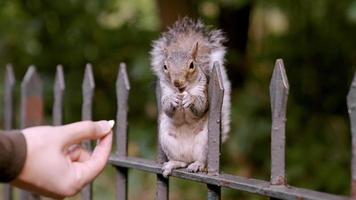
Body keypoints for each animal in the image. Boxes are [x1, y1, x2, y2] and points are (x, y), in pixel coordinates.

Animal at [149, 17, 231, 177]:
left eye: (192, 65)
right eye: (165, 66)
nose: (177, 83)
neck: (182, 91)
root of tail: (189, 157)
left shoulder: (202, 90)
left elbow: (201, 106)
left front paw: (190, 99)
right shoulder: (165, 90)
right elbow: (166, 106)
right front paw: (172, 100)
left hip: (205, 143)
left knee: (201, 161)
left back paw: (197, 165)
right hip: (167, 140)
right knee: (181, 162)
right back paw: (173, 164)